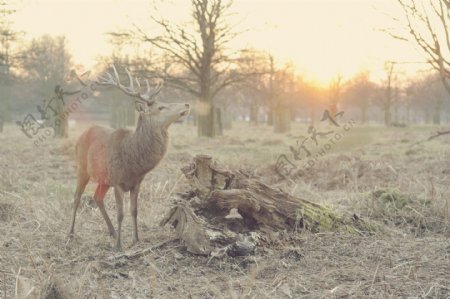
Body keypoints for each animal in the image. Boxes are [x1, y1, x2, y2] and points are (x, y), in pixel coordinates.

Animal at [68, 65, 190, 251]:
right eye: (161, 107)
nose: (187, 103)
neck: (133, 162)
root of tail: (82, 133)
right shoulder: (117, 180)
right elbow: (120, 213)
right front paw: (119, 246)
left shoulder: (137, 182)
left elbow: (134, 210)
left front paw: (136, 239)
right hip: (82, 167)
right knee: (76, 198)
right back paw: (71, 233)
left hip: (103, 179)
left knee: (97, 197)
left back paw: (112, 232)